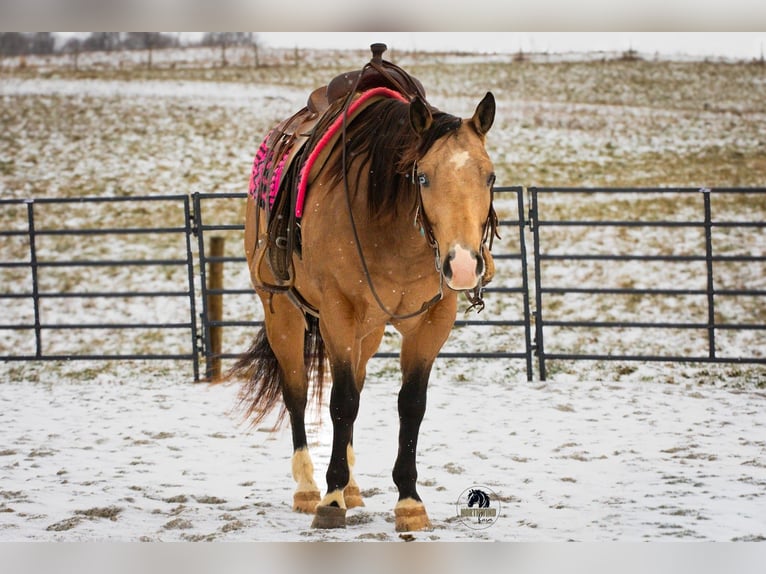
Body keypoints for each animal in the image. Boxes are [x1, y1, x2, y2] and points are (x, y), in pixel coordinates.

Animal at [229, 44, 498, 532]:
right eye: (423, 176)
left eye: (489, 177)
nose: (465, 266)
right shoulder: (338, 312)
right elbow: (341, 403)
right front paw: (331, 500)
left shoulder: (433, 320)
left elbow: (410, 404)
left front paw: (408, 502)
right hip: (284, 314)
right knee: (298, 394)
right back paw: (309, 488)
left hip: (367, 331)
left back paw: (353, 487)